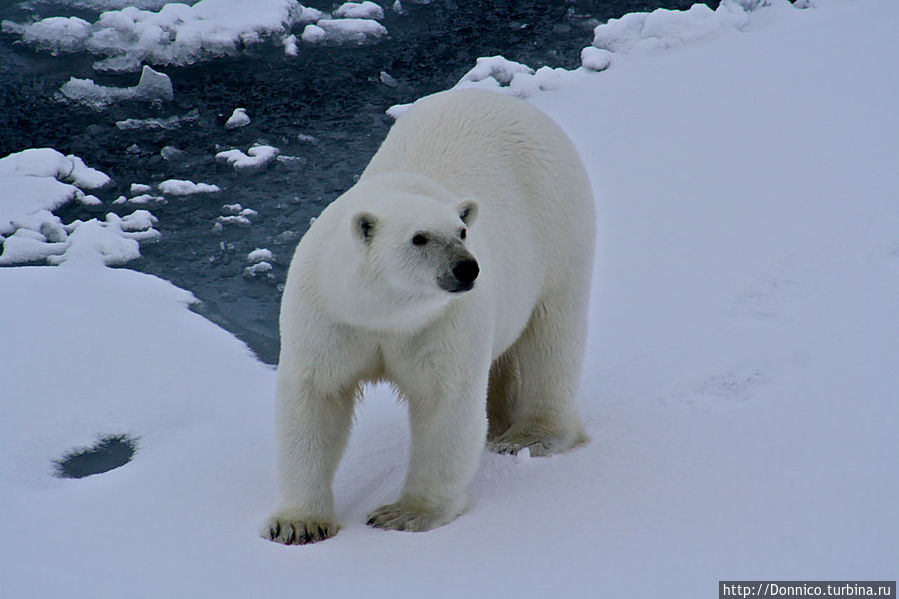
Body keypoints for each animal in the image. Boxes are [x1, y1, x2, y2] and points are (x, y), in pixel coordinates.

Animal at [264, 88, 596, 544]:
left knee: (552, 333)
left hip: (558, 224)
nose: (467, 268)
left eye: (462, 232)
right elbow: (315, 396)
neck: (385, 315)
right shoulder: (330, 316)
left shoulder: (441, 323)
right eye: (419, 238)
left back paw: (531, 435)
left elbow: (446, 401)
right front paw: (299, 524)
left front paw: (404, 514)